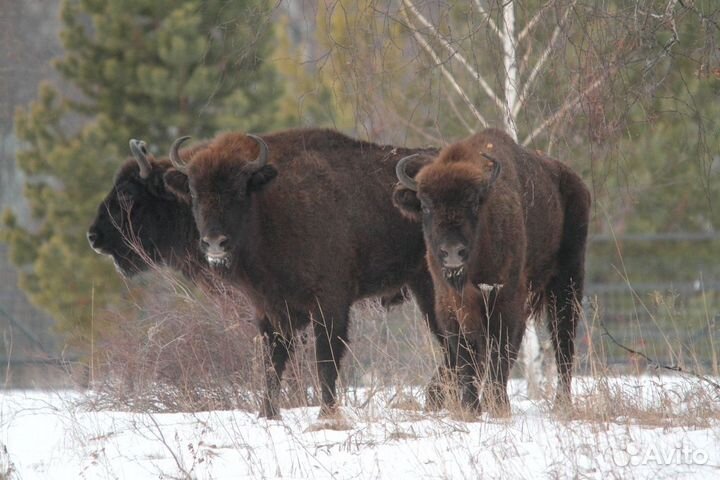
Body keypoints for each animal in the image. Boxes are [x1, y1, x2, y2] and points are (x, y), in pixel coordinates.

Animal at [163, 129, 448, 418]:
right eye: (194, 192)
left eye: (239, 189)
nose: (214, 243)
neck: (269, 205)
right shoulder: (270, 311)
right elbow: (273, 363)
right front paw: (267, 413)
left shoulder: (330, 304)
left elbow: (325, 360)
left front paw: (326, 413)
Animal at [394, 128, 592, 416]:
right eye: (426, 205)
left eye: (473, 203)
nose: (452, 252)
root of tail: (577, 184)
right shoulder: (450, 304)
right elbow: (465, 353)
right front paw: (471, 407)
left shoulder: (504, 299)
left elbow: (500, 350)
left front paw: (498, 406)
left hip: (568, 280)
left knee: (563, 338)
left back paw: (561, 404)